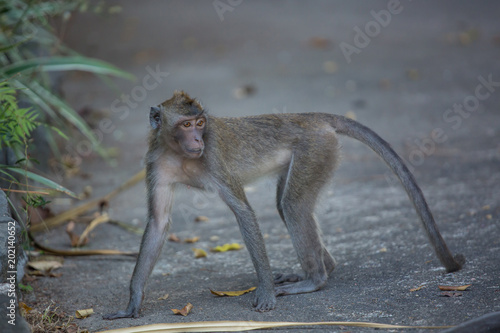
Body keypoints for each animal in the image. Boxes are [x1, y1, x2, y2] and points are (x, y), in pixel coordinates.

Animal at [102, 91, 464, 320]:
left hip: (316, 150)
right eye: (185, 125)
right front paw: (133, 303)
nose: (197, 140)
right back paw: (320, 268)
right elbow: (158, 222)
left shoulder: (213, 156)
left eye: (200, 124)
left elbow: (243, 212)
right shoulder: (155, 163)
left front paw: (264, 293)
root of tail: (309, 117)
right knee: (286, 205)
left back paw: (314, 279)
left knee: (292, 206)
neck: (178, 152)